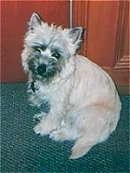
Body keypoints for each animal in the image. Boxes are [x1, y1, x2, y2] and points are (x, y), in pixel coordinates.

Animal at [20, 12, 121, 159]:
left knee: (77, 132)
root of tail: (110, 128)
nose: (41, 68)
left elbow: (54, 116)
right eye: (38, 49)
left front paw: (43, 128)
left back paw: (59, 134)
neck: (53, 78)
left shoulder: (59, 102)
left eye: (56, 54)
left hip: (84, 113)